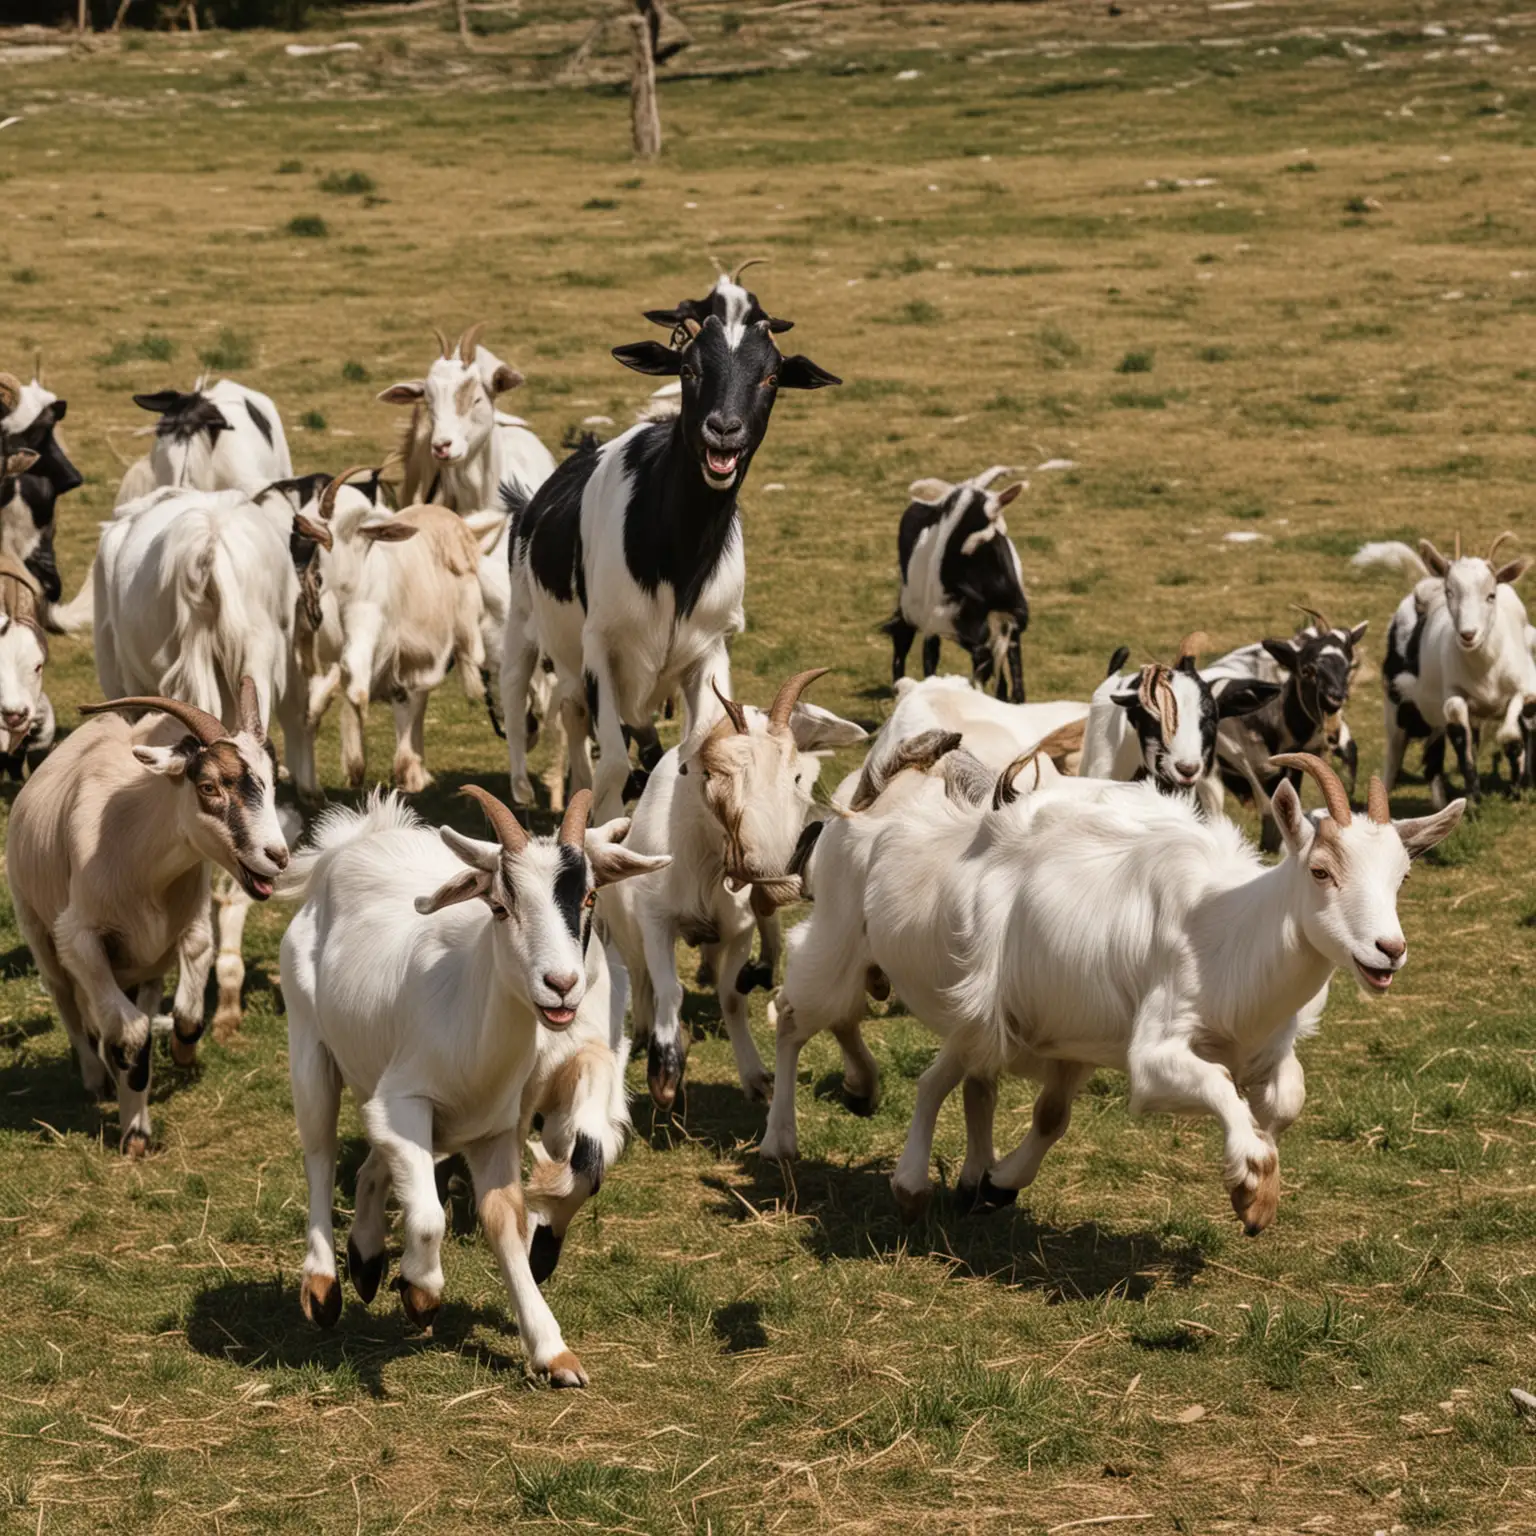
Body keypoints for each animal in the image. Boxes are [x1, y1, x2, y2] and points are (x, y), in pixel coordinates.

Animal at [282, 786, 666, 1388]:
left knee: (374, 1161)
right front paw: (421, 1293)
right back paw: (323, 1287)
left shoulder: (524, 1105)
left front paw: (552, 1347)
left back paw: (366, 1260)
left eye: (589, 898)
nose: (561, 985)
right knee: (320, 1154)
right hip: (309, 1043)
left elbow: (533, 1198)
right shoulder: (406, 1099)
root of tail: (355, 842)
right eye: (501, 906)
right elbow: (430, 1216)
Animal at [503, 276, 841, 829]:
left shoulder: (710, 646)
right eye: (689, 368)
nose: (723, 429)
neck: (675, 562)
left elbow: (690, 756)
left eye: (771, 377)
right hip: (527, 623)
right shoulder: (601, 644)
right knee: (534, 698)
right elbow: (613, 765)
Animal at [761, 746, 1456, 1234]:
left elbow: (1283, 1098)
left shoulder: (1112, 1035)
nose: (1387, 950)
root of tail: (864, 800)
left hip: (982, 1006)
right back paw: (787, 1143)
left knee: (960, 1074)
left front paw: (999, 1184)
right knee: (797, 1016)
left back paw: (938, 1154)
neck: (1223, 933)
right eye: (1320, 871)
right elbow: (1213, 1083)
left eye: (1401, 876)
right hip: (841, 945)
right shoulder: (1153, 1048)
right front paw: (1253, 1184)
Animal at [884, 466, 1026, 703]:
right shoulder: (938, 623)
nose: (1018, 607)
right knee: (905, 641)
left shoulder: (1003, 628)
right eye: (973, 546)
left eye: (1001, 536)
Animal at [1357, 531, 1536, 804]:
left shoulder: (1525, 688)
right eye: (1450, 592)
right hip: (1399, 707)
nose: (1468, 635)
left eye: (1491, 594)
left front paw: (1517, 788)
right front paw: (1474, 799)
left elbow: (1512, 734)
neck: (1486, 669)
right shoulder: (1453, 697)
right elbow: (1461, 738)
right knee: (1399, 757)